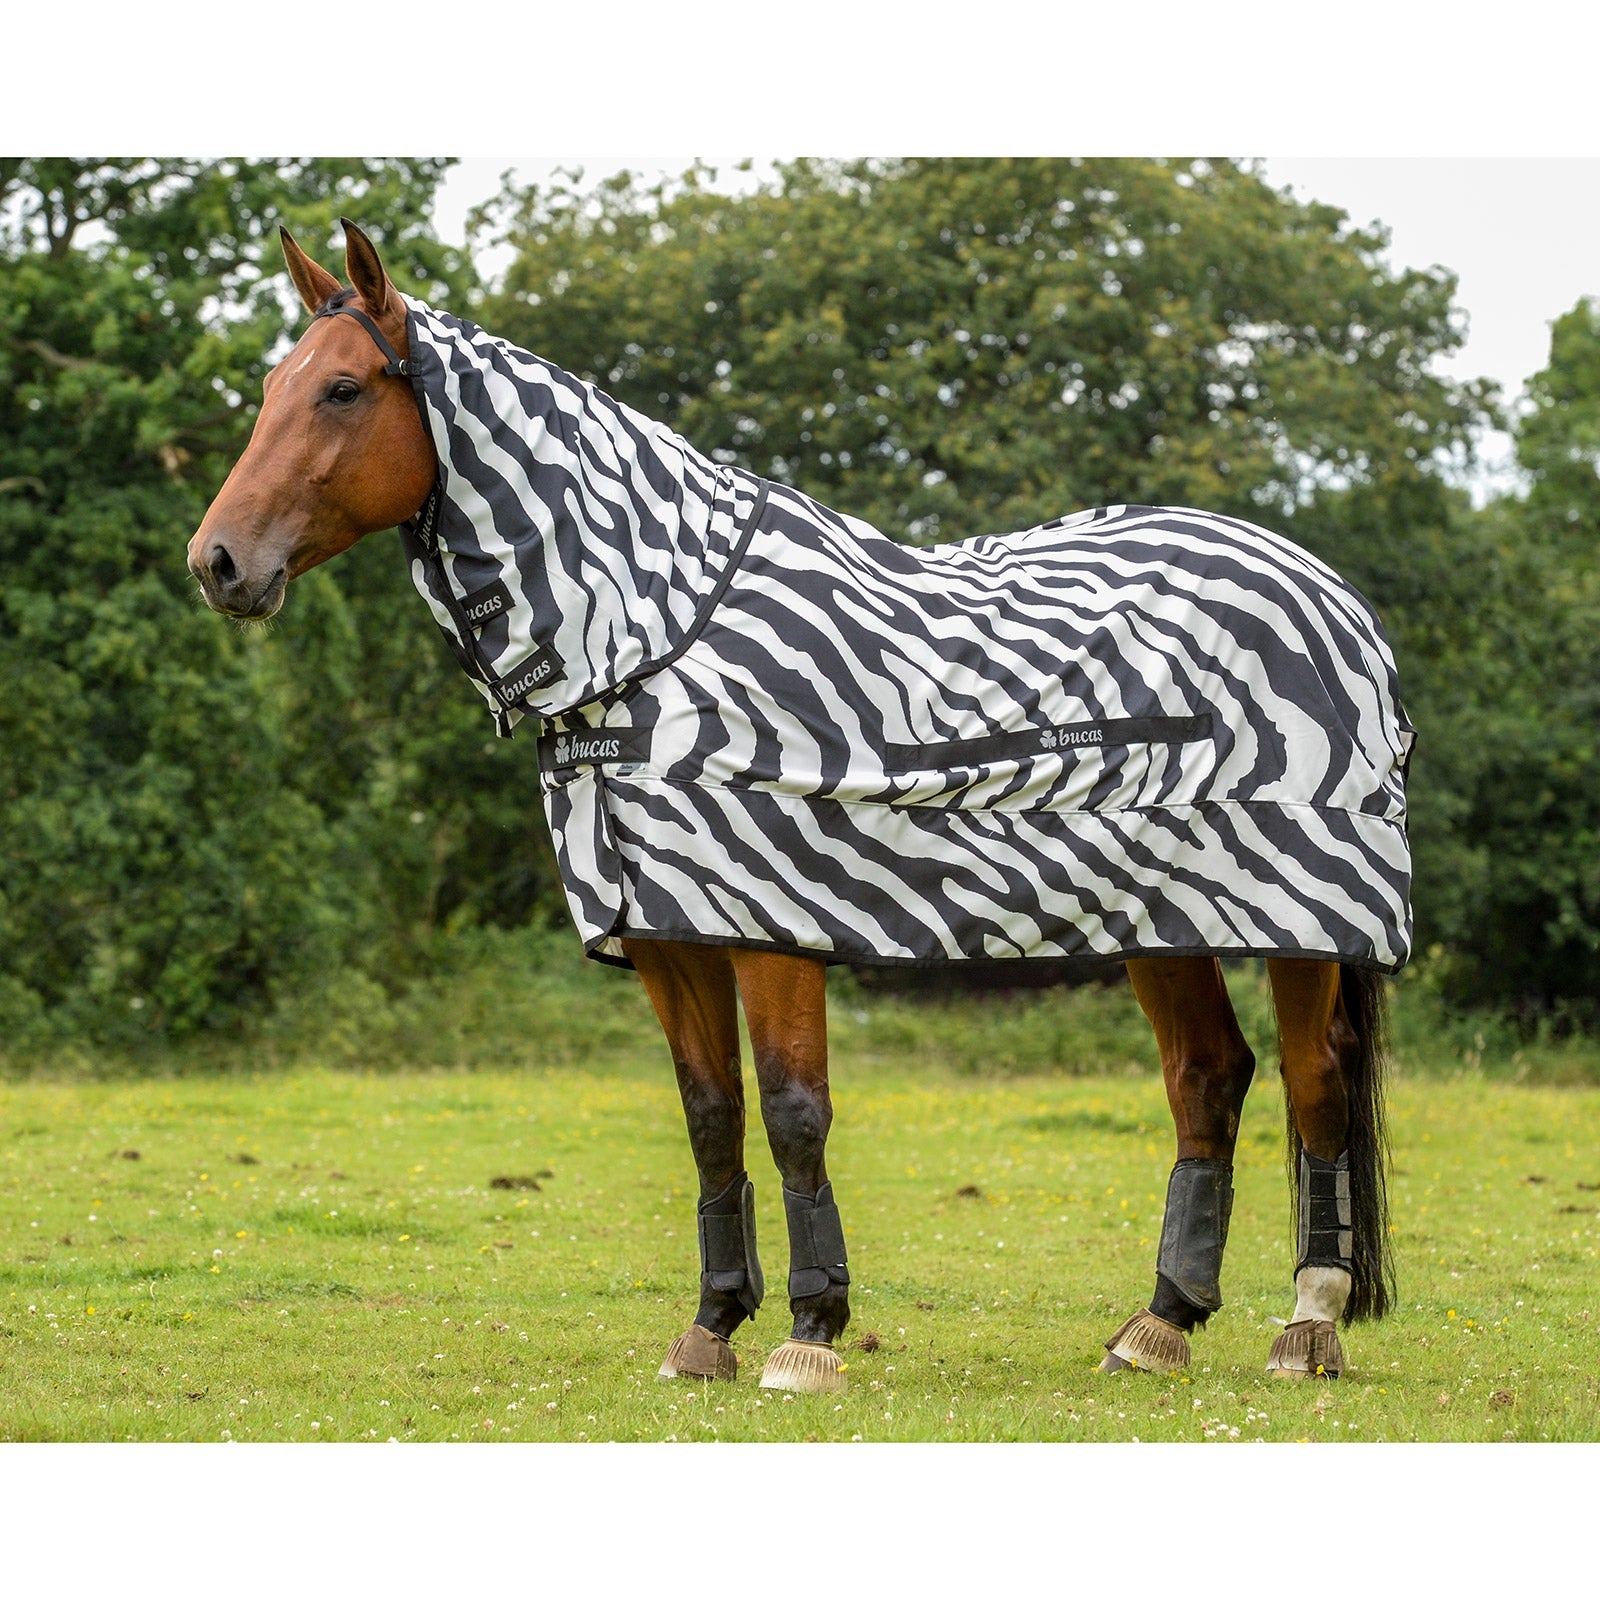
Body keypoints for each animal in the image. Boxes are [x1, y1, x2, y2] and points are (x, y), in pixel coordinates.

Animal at [189, 220, 1409, 1393]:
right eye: (273, 385)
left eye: (345, 389)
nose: (218, 562)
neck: (659, 632)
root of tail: (1329, 590)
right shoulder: (668, 930)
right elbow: (711, 1117)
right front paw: (710, 1326)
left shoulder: (772, 920)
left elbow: (792, 1114)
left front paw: (810, 1331)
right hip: (1162, 915)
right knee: (1208, 1078)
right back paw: (1158, 1326)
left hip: (1302, 919)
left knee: (1311, 1080)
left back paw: (1308, 1324)